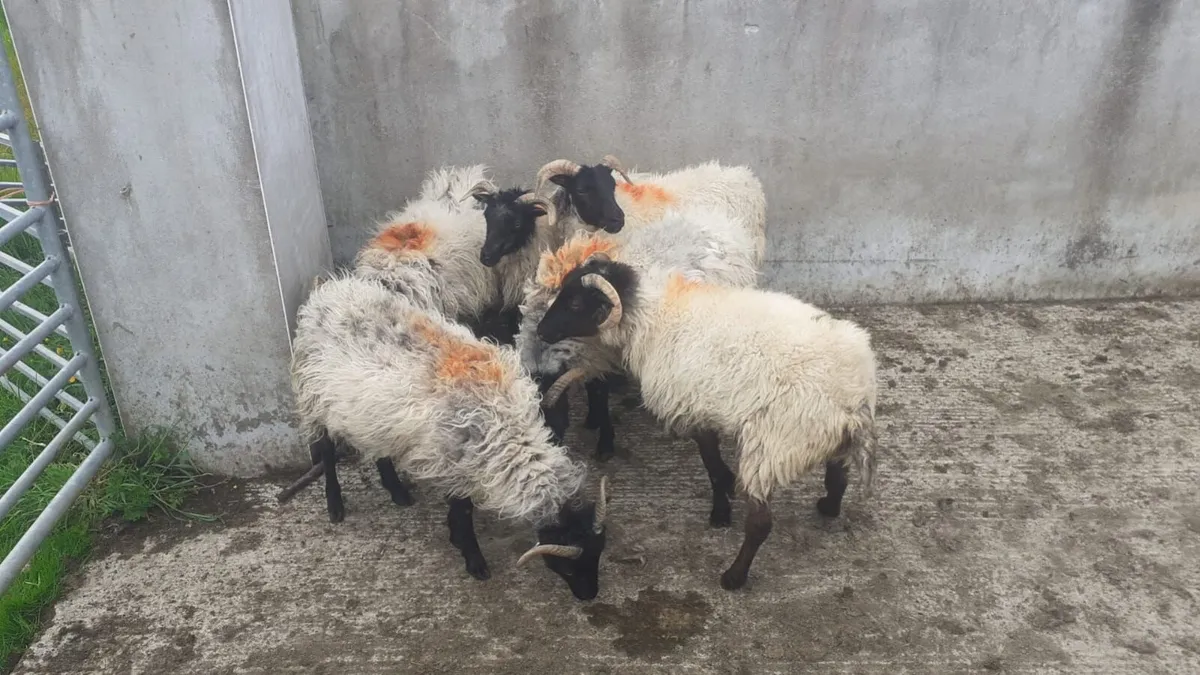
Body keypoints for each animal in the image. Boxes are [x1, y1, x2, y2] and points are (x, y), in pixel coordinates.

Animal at [291, 272, 612, 600]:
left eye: (598, 553)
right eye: (568, 568)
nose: (590, 596)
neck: (505, 425)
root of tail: (330, 290)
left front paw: (455, 536)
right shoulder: (452, 463)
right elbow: (463, 510)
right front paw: (472, 557)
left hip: (374, 414)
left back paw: (397, 492)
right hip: (314, 395)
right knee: (325, 450)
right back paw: (335, 505)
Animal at [516, 207, 762, 460]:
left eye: (575, 304)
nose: (542, 331)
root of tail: (714, 219)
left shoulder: (602, 355)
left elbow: (600, 391)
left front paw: (605, 441)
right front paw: (594, 421)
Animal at [534, 251, 878, 591]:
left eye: (575, 303)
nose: (541, 332)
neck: (655, 314)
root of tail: (853, 397)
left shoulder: (692, 406)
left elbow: (711, 462)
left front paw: (721, 510)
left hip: (771, 447)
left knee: (760, 524)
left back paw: (734, 577)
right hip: (825, 437)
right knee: (838, 477)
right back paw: (828, 507)